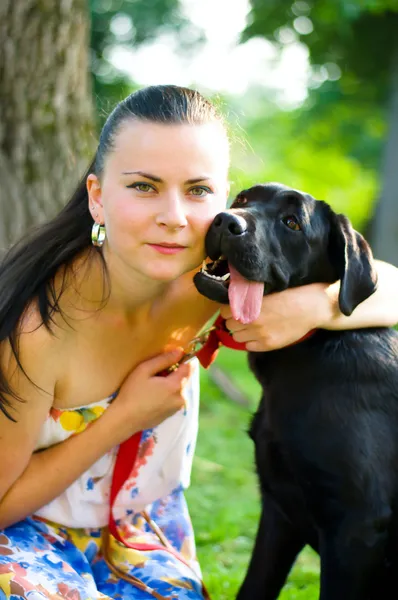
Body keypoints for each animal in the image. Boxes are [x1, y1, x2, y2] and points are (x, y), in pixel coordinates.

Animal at [194, 183, 398, 600]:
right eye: (243, 200)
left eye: (292, 223)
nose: (225, 220)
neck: (310, 348)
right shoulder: (279, 510)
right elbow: (253, 587)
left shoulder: (358, 526)